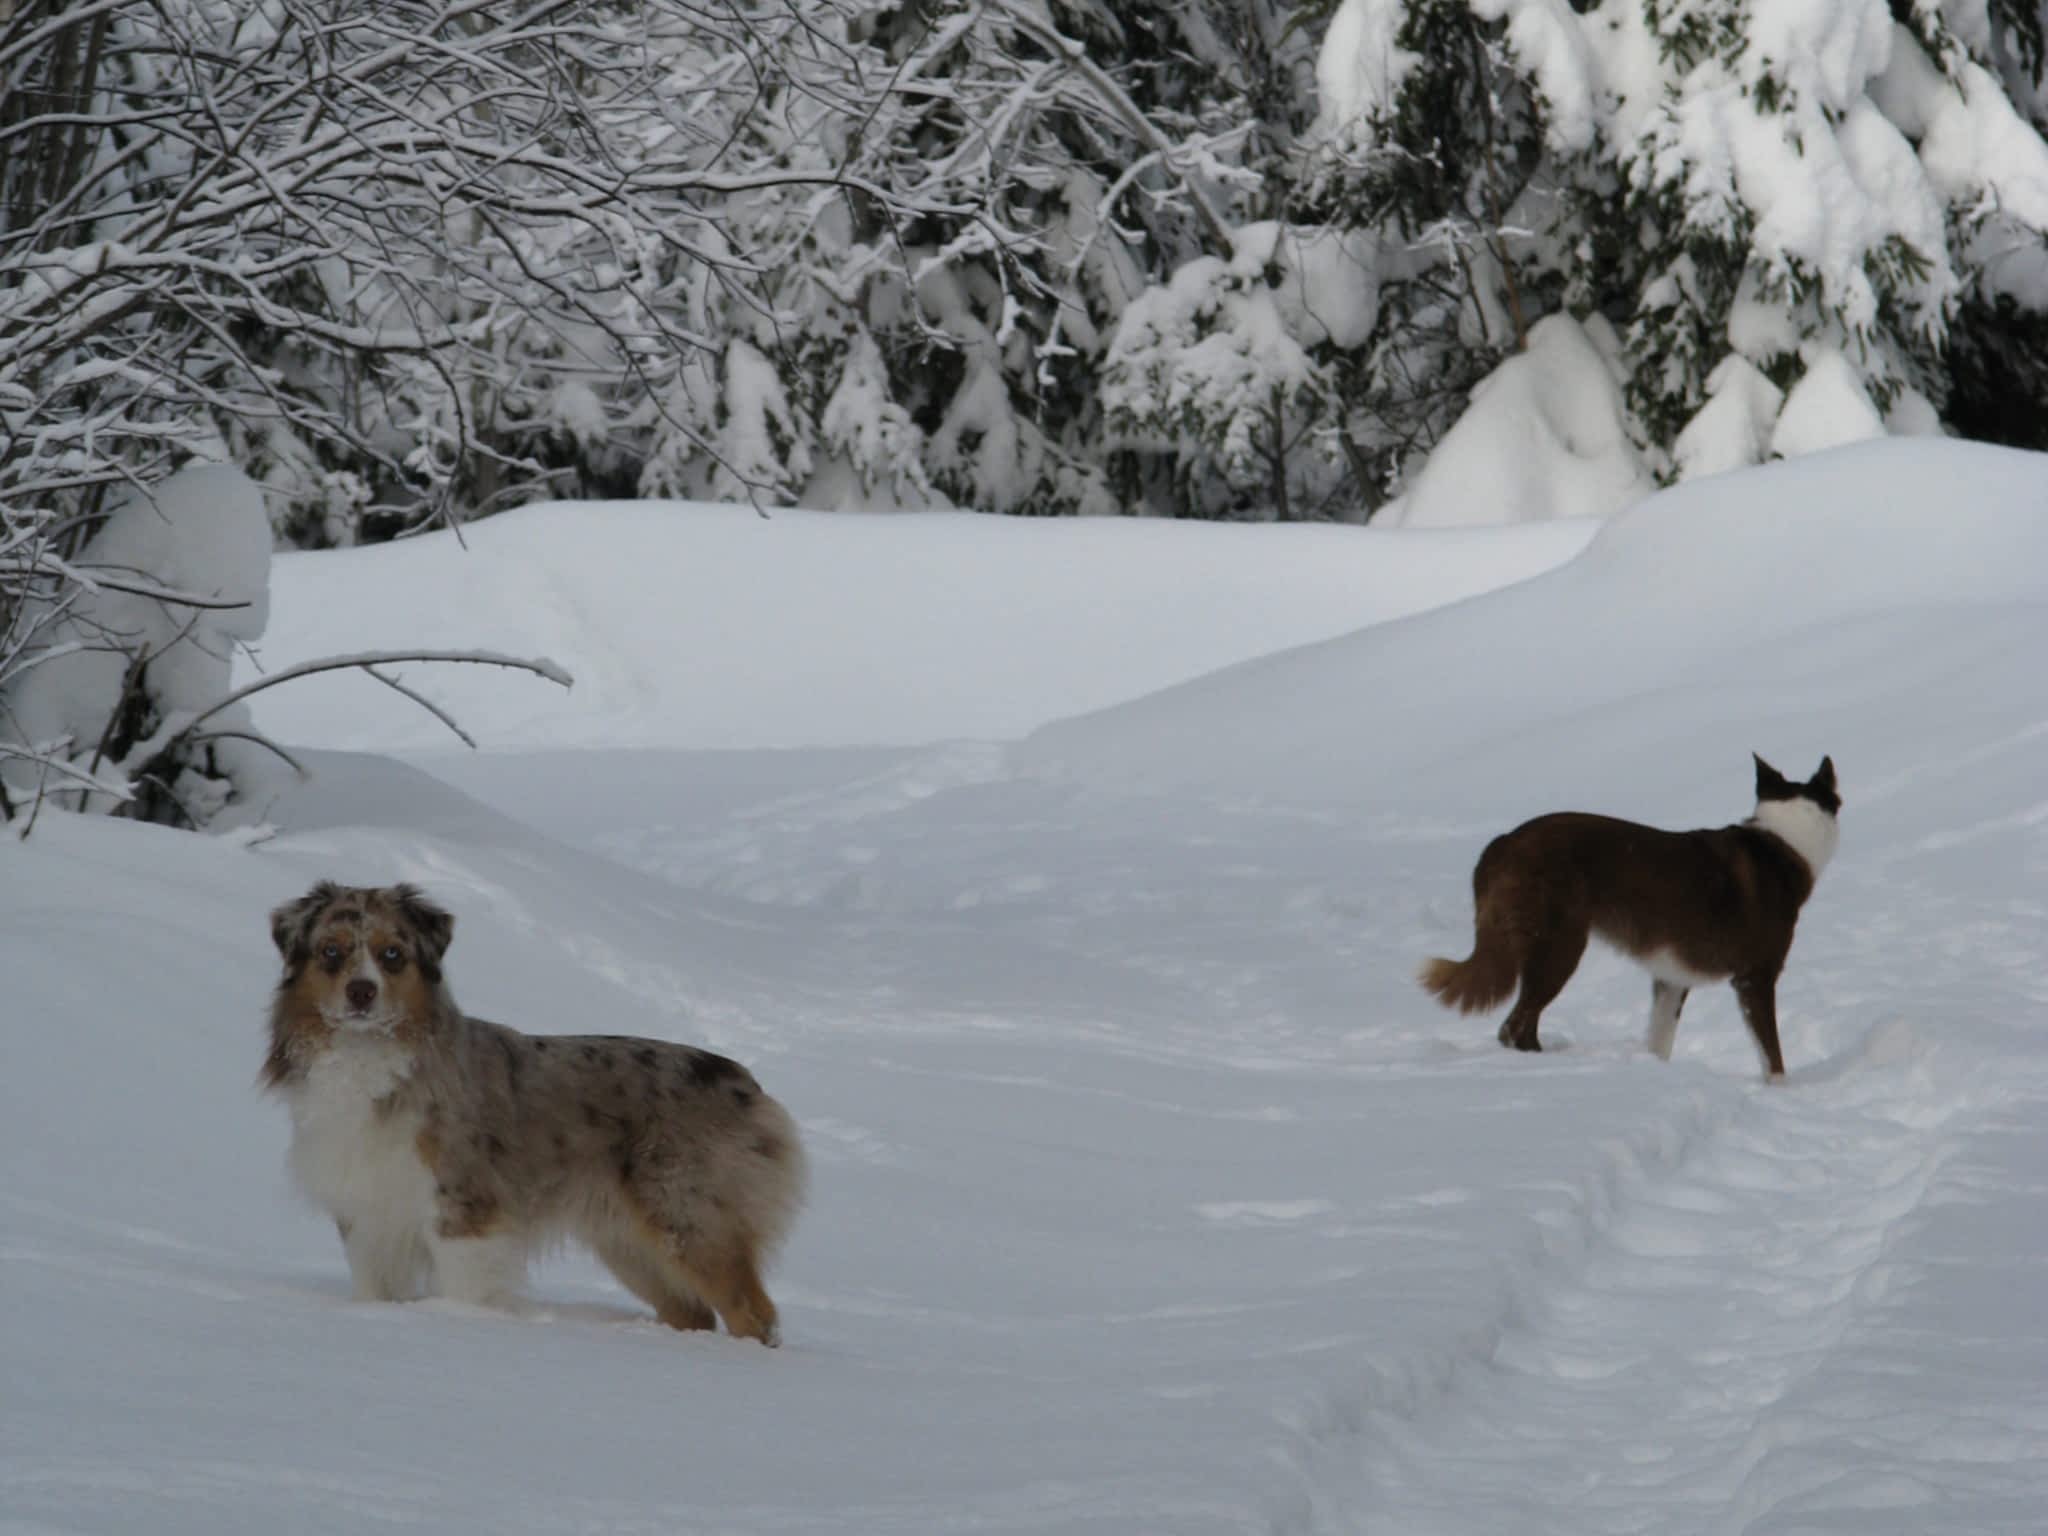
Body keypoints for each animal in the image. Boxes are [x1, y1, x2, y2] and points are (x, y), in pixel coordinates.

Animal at [270, 888, 806, 1343]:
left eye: (392, 955)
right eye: (331, 952)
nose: (362, 992)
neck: (366, 1061)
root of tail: (745, 1081)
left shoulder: (463, 1209)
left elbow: (467, 1288)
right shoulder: (366, 1212)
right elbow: (375, 1288)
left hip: (692, 1219)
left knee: (754, 1314)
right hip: (632, 1244)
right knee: (692, 1312)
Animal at [1425, 761, 1843, 1081]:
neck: (1783, 841)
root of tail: (1503, 842)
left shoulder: (1671, 979)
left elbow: (1659, 1040)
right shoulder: (1755, 978)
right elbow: (1773, 1057)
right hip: (1559, 948)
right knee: (1514, 1027)